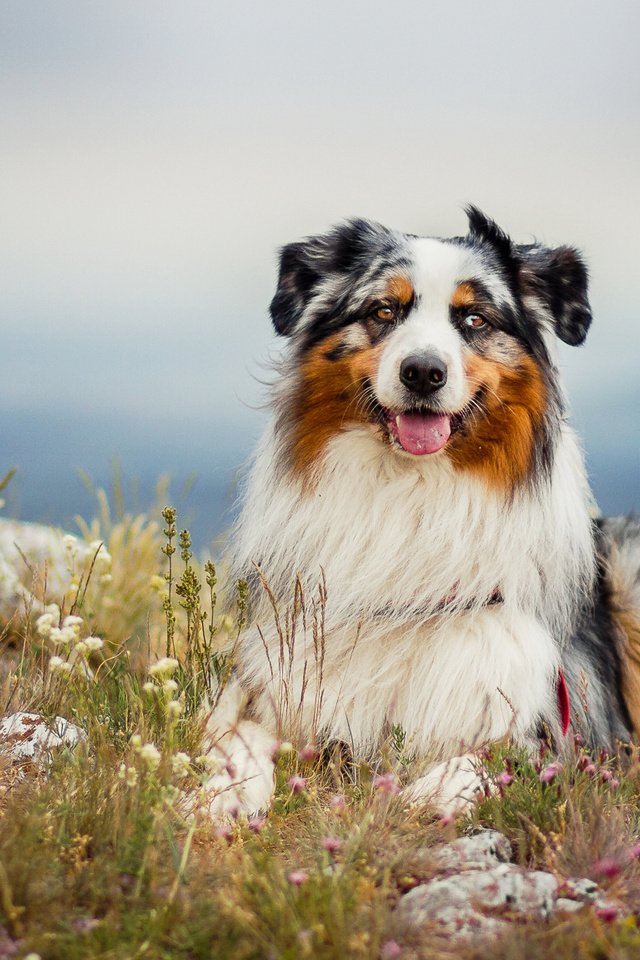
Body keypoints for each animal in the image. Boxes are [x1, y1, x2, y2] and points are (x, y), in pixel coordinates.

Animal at [205, 210, 640, 816]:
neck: (413, 490)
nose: (423, 372)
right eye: (384, 311)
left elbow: (489, 760)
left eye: (475, 319)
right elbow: (240, 737)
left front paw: (427, 794)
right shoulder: (279, 677)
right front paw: (218, 796)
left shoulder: (550, 723)